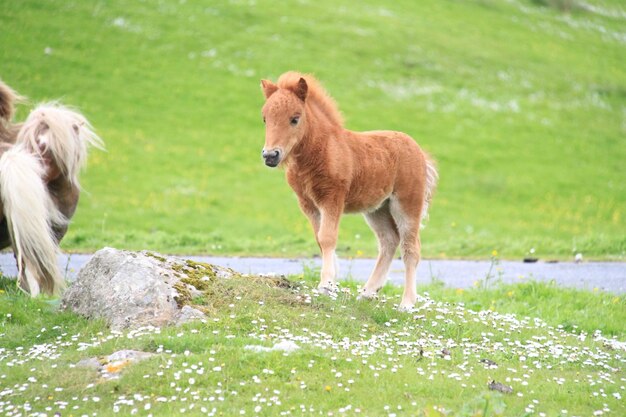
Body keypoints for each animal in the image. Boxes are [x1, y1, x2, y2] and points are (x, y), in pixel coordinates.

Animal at [258, 71, 434, 308]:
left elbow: (327, 237)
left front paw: (325, 284)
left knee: (411, 248)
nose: (270, 155)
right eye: (265, 119)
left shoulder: (332, 198)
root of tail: (418, 150)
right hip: (377, 209)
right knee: (389, 241)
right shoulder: (308, 204)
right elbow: (319, 238)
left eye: (295, 118)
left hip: (407, 204)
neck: (322, 149)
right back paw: (368, 292)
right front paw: (332, 282)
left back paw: (406, 304)